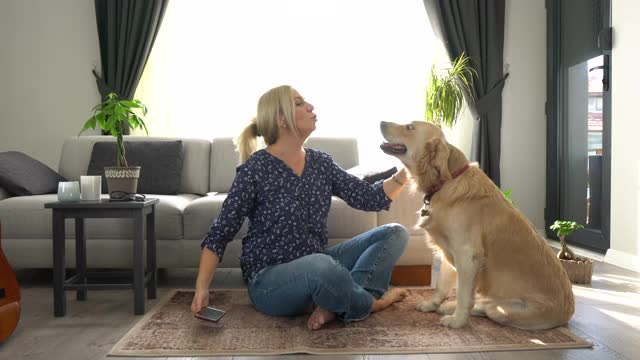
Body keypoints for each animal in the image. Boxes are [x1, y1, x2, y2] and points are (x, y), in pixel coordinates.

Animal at [380, 120, 576, 330]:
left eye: (409, 127)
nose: (381, 122)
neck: (447, 181)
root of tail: (568, 312)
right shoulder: (447, 251)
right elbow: (441, 285)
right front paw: (432, 304)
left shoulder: (467, 255)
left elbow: (463, 293)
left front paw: (457, 321)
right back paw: (447, 306)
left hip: (507, 311)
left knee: (488, 309)